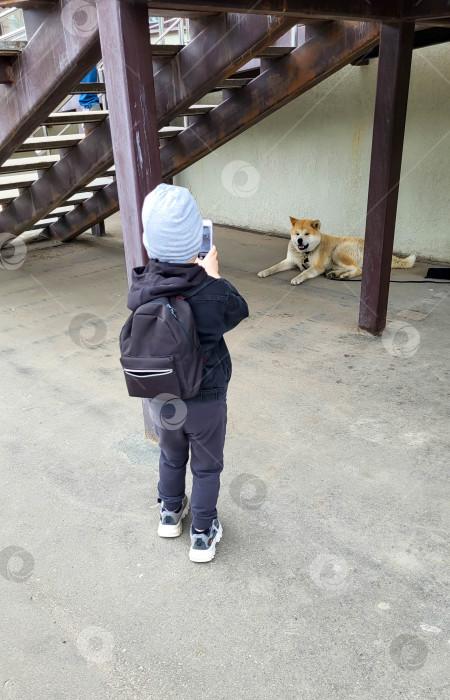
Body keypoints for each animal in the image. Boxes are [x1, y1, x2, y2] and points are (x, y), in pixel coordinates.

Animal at [258, 217, 416, 286]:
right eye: (297, 234)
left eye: (307, 234)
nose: (299, 241)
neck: (305, 254)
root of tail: (365, 242)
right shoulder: (290, 261)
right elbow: (274, 267)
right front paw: (264, 272)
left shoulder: (318, 267)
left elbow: (305, 272)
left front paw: (297, 278)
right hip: (335, 260)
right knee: (350, 268)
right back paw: (336, 274)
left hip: (338, 252)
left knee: (358, 270)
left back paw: (344, 276)